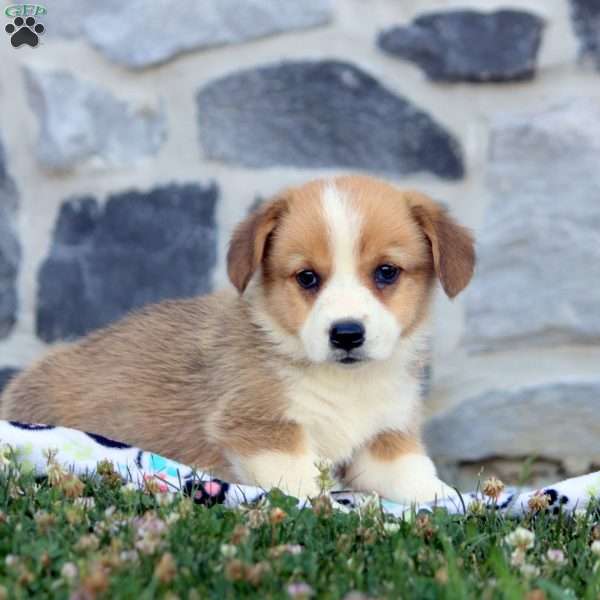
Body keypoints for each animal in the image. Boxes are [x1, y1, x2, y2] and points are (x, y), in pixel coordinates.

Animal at [2, 176, 476, 504]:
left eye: (386, 272)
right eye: (307, 277)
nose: (346, 334)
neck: (345, 384)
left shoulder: (385, 438)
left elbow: (415, 476)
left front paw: (455, 502)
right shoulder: (262, 429)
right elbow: (303, 484)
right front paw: (329, 509)